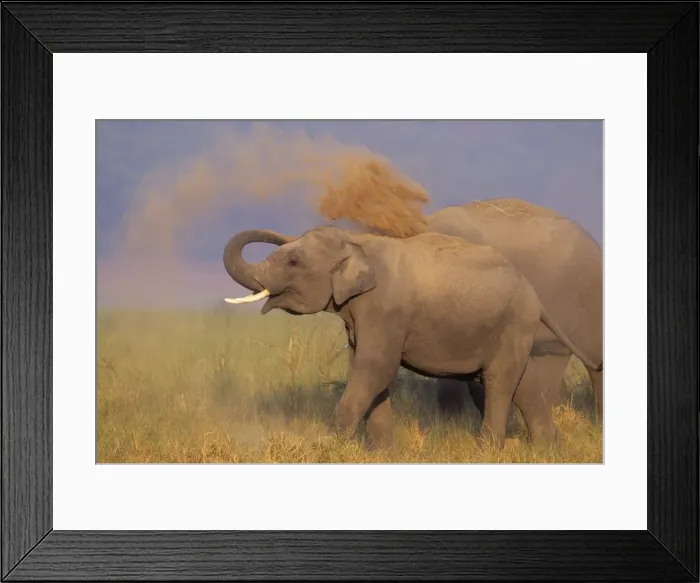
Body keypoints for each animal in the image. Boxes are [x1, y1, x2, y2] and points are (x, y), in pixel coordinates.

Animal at [222, 224, 602, 449]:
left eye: (294, 261)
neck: (357, 242)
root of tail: (534, 295)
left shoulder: (386, 309)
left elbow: (376, 368)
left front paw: (330, 447)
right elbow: (370, 370)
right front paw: (382, 452)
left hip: (513, 321)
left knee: (499, 380)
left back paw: (488, 450)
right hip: (514, 326)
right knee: (522, 382)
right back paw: (549, 448)